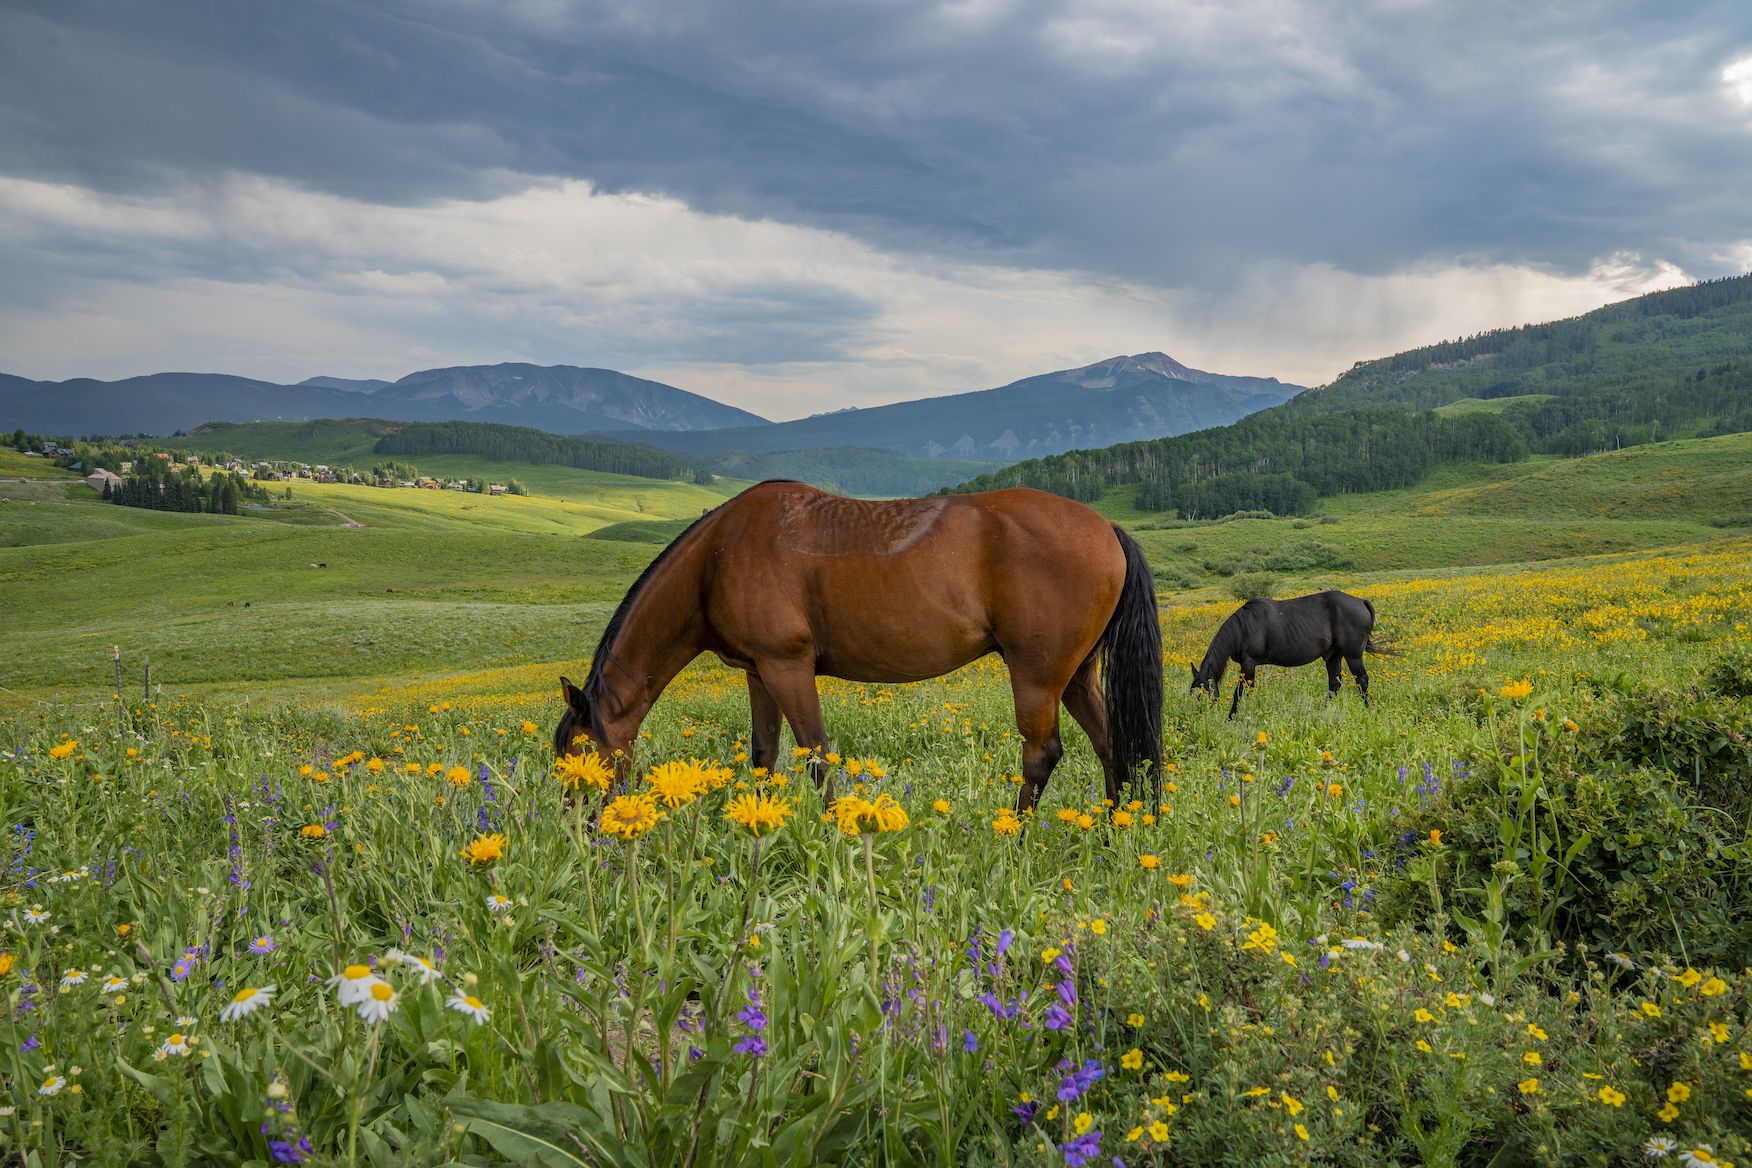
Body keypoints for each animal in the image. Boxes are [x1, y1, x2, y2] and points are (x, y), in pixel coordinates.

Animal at [554, 480, 1164, 812]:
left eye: (580, 756)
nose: (583, 830)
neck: (717, 558)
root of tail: (1107, 528)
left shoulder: (788, 667)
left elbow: (817, 756)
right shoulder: (758, 672)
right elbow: (764, 755)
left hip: (1037, 676)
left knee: (1042, 755)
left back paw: (1013, 838)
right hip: (1078, 675)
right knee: (1114, 746)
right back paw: (1114, 830)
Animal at [1190, 590, 1378, 719]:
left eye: (1205, 691)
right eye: (1193, 693)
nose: (1200, 716)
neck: (1243, 628)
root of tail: (1361, 602)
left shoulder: (1248, 663)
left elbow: (1241, 691)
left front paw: (1232, 717)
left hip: (1352, 655)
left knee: (1361, 679)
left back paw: (1368, 708)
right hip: (1334, 656)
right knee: (1335, 684)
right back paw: (1322, 710)